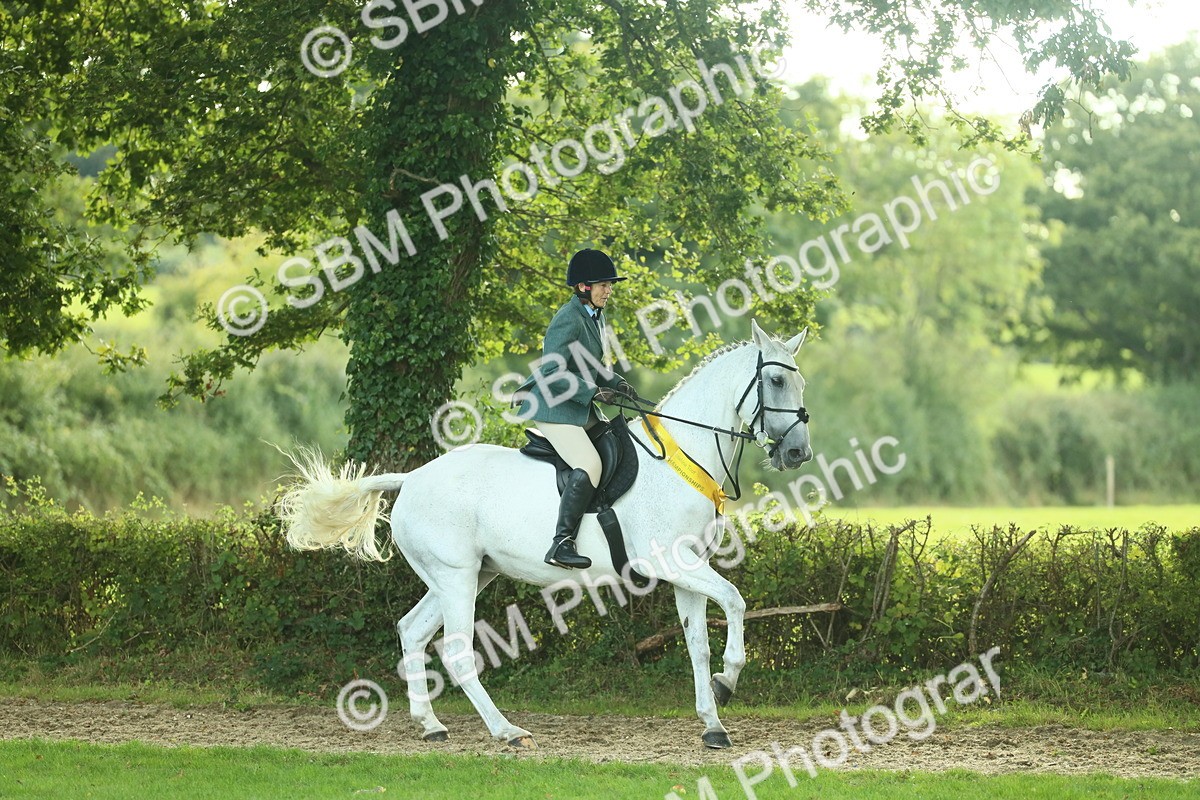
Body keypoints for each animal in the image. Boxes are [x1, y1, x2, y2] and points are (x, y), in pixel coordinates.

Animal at [278, 319, 813, 750]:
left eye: (800, 382)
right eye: (776, 380)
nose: (798, 454)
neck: (683, 457)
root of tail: (410, 478)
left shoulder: (687, 570)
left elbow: (698, 644)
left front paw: (713, 721)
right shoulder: (671, 562)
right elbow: (737, 601)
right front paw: (728, 681)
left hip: (466, 576)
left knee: (411, 630)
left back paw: (431, 726)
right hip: (456, 578)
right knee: (456, 651)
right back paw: (507, 732)